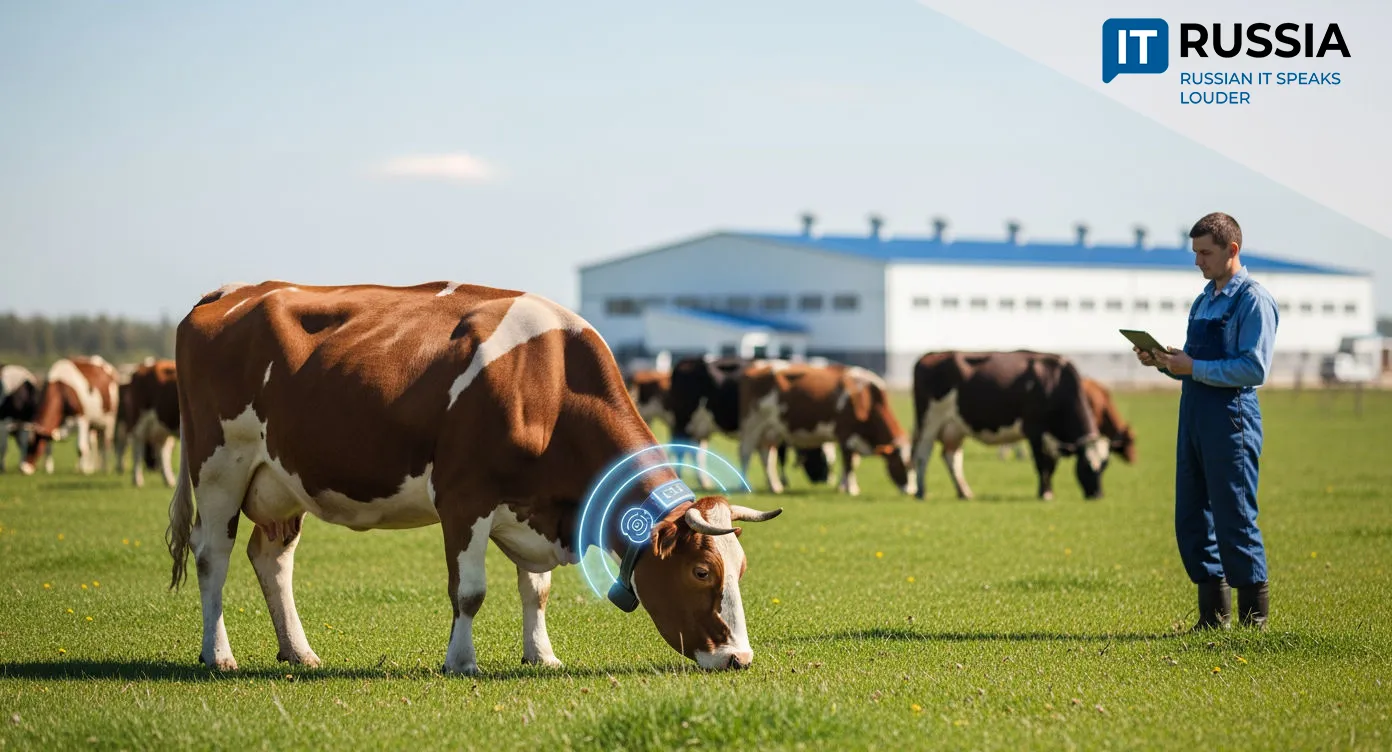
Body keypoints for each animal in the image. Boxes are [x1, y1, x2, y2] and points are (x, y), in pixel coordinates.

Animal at [164, 280, 783, 674]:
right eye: (702, 571)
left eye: (741, 570)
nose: (739, 658)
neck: (548, 383)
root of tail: (232, 291)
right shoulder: (464, 500)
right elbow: (470, 590)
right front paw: (461, 661)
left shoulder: (531, 505)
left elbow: (537, 590)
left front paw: (542, 655)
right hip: (219, 467)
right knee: (212, 556)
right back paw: (218, 654)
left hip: (280, 479)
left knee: (272, 560)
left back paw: (298, 651)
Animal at [666, 356, 832, 490]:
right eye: (821, 458)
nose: (826, 480)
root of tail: (685, 362)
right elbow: (779, 457)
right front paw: (782, 482)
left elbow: (769, 457)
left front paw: (773, 483)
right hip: (683, 423)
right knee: (679, 449)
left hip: (701, 427)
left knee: (696, 452)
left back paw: (704, 482)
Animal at [738, 362, 913, 496]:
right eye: (900, 464)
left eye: (912, 465)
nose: (911, 491)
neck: (866, 398)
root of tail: (755, 368)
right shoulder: (845, 434)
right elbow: (849, 463)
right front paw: (851, 489)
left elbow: (853, 463)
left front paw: (845, 487)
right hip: (752, 424)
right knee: (746, 453)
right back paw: (744, 487)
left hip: (770, 430)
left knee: (767, 456)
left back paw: (775, 487)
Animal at [910, 351, 1111, 501]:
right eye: (1086, 466)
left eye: (1105, 466)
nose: (1098, 495)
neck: (1054, 382)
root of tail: (930, 356)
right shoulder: (1034, 431)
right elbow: (1041, 464)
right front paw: (1044, 494)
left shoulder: (1052, 439)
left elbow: (1051, 466)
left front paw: (1049, 491)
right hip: (929, 422)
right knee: (922, 455)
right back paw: (921, 492)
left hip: (955, 427)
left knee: (951, 457)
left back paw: (964, 492)